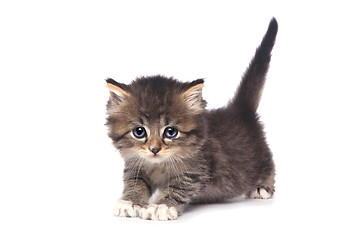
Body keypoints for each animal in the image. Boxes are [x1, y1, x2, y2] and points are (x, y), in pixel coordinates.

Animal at [105, 17, 278, 220]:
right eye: (139, 132)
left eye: (171, 132)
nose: (154, 149)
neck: (160, 164)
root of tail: (240, 110)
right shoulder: (136, 165)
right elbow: (135, 183)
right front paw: (129, 201)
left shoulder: (195, 172)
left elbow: (177, 188)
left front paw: (161, 206)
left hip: (256, 161)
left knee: (269, 163)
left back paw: (263, 186)